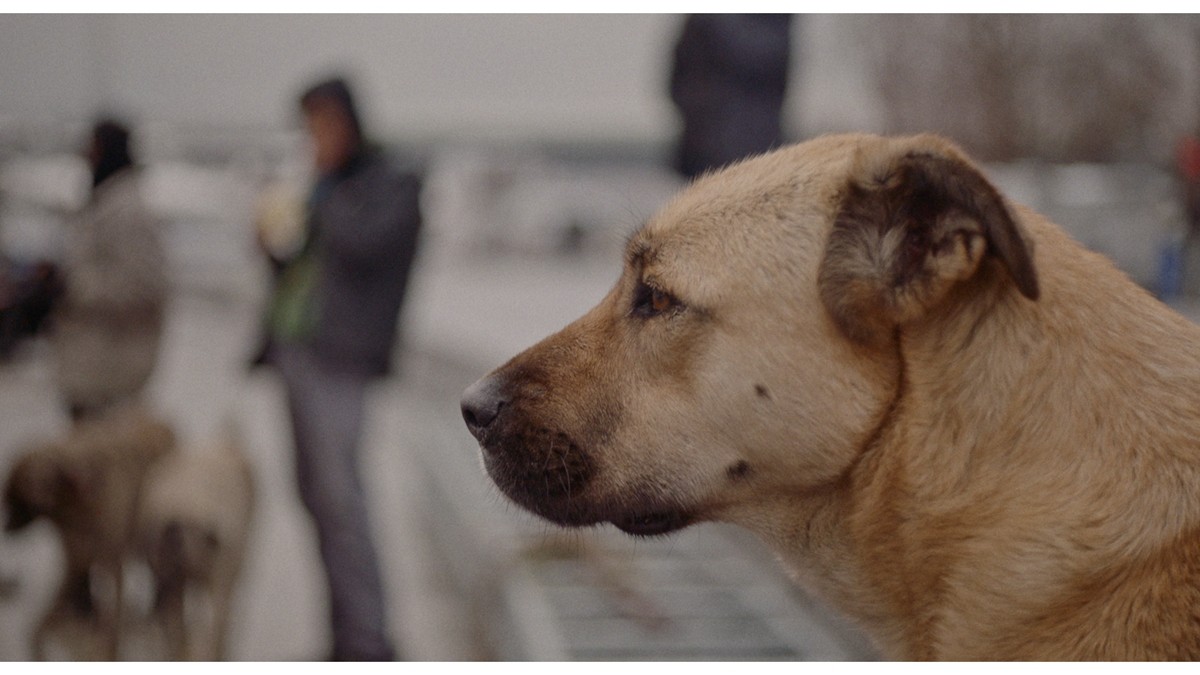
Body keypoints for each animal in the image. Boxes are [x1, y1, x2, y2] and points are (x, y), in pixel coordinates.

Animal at [1, 403, 175, 658]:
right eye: (7, 499)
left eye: (17, 502)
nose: (5, 528)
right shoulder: (74, 561)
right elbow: (41, 626)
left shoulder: (110, 563)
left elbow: (111, 628)